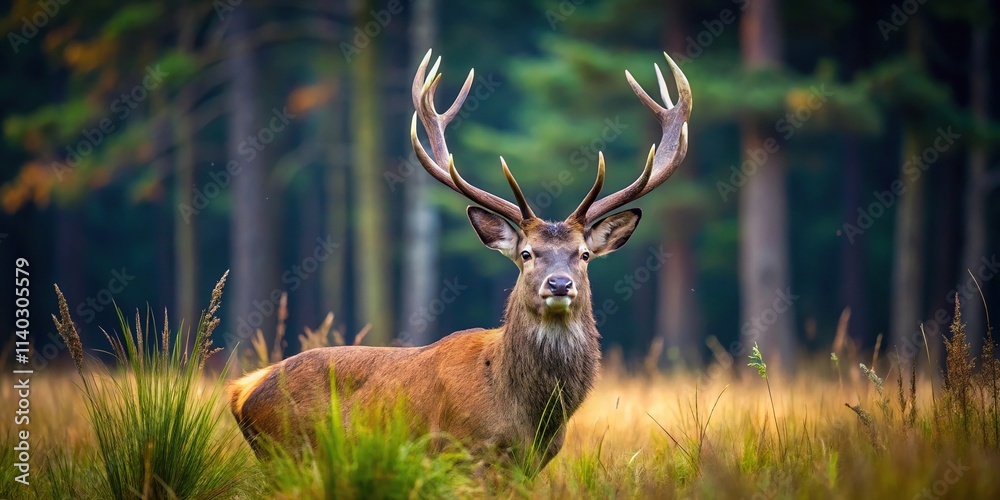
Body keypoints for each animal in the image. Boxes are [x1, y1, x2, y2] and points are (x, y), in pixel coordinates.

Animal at [228, 49, 691, 471]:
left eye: (584, 254)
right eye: (526, 253)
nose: (559, 284)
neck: (526, 416)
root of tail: (242, 389)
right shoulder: (458, 453)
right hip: (287, 453)